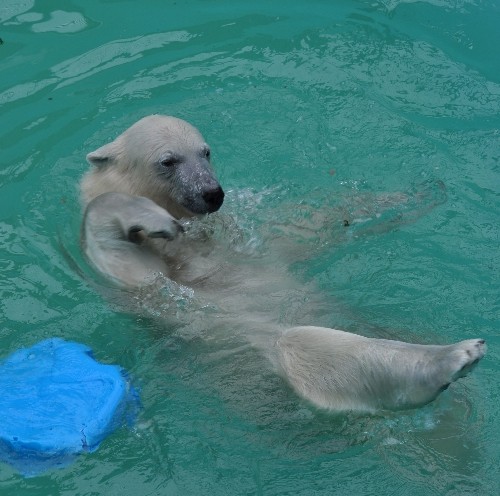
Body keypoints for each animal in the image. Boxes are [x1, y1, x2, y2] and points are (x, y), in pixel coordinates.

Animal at [80, 114, 486, 412]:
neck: (195, 246)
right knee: (301, 349)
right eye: (167, 161)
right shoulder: (156, 291)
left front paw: (417, 194)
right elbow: (121, 254)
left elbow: (307, 223)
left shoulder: (251, 242)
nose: (212, 193)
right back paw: (455, 357)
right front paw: (153, 218)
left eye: (205, 152)